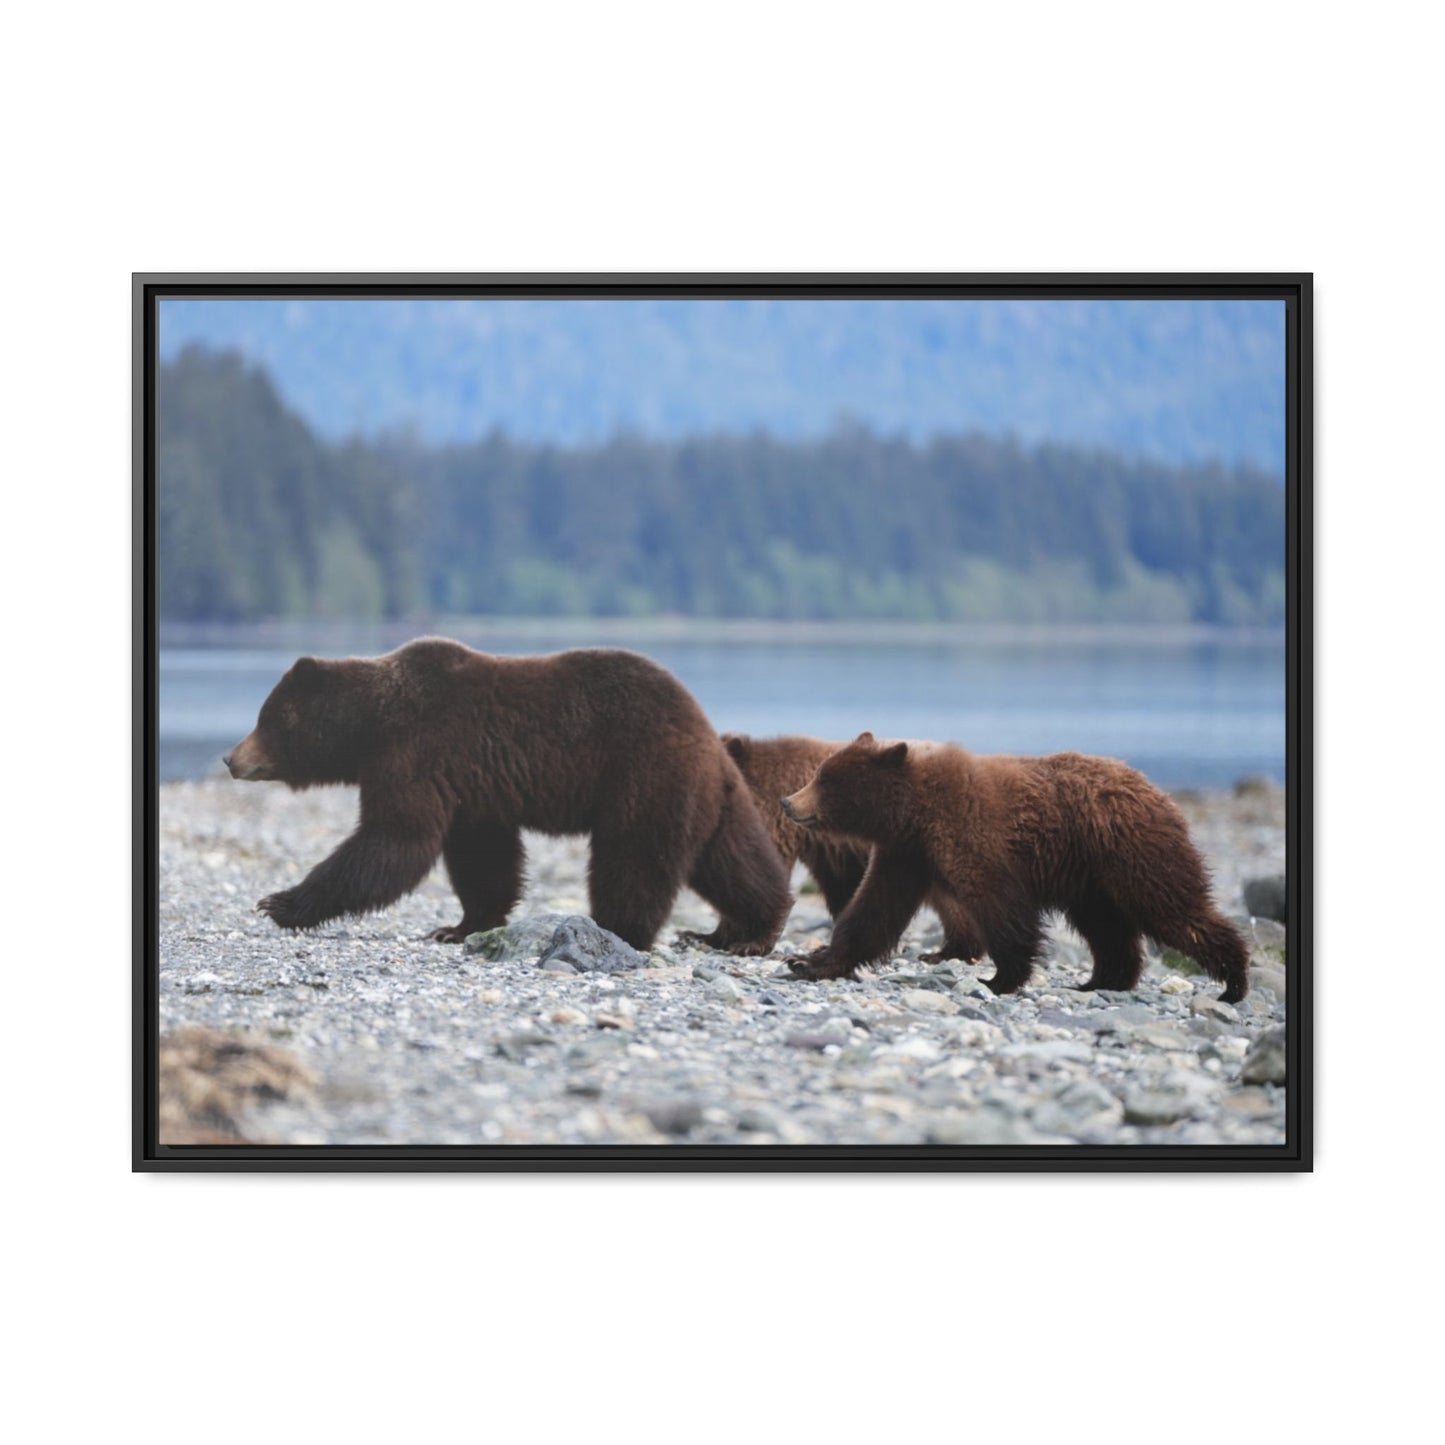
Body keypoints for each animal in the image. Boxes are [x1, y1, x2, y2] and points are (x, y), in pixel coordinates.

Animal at [224, 639, 792, 955]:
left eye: (265, 718)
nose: (230, 758)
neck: (371, 726)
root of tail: (705, 732)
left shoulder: (417, 753)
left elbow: (394, 840)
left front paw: (280, 902)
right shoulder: (472, 788)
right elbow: (482, 857)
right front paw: (459, 926)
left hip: (643, 777)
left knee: (633, 860)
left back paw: (617, 929)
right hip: (712, 796)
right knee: (733, 860)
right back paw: (748, 930)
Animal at [781, 732, 1250, 1003]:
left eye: (825, 779)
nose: (788, 802)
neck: (915, 812)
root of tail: (1158, 791)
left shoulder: (973, 837)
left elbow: (1000, 908)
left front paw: (997, 979)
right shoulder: (906, 853)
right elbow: (872, 910)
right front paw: (808, 961)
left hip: (1132, 853)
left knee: (1173, 909)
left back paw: (1233, 981)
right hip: (1092, 881)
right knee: (1107, 928)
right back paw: (1100, 981)